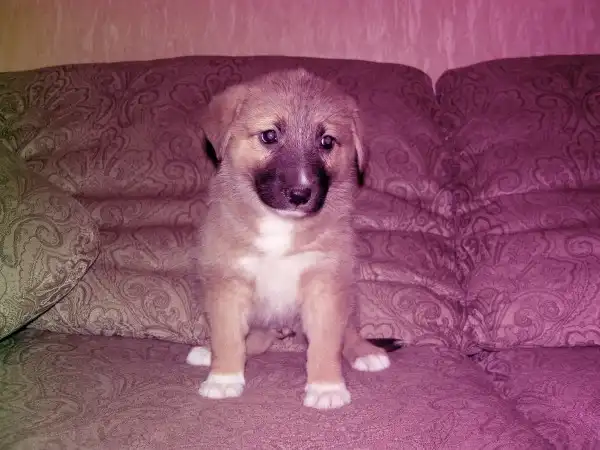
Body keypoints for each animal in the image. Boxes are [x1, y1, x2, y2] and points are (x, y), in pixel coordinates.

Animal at [186, 68, 390, 410]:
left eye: (327, 141)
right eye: (269, 135)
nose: (300, 194)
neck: (280, 225)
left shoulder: (324, 282)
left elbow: (325, 344)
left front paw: (326, 387)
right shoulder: (229, 283)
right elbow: (228, 337)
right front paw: (224, 378)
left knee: (348, 332)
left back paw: (366, 352)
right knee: (252, 340)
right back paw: (207, 353)